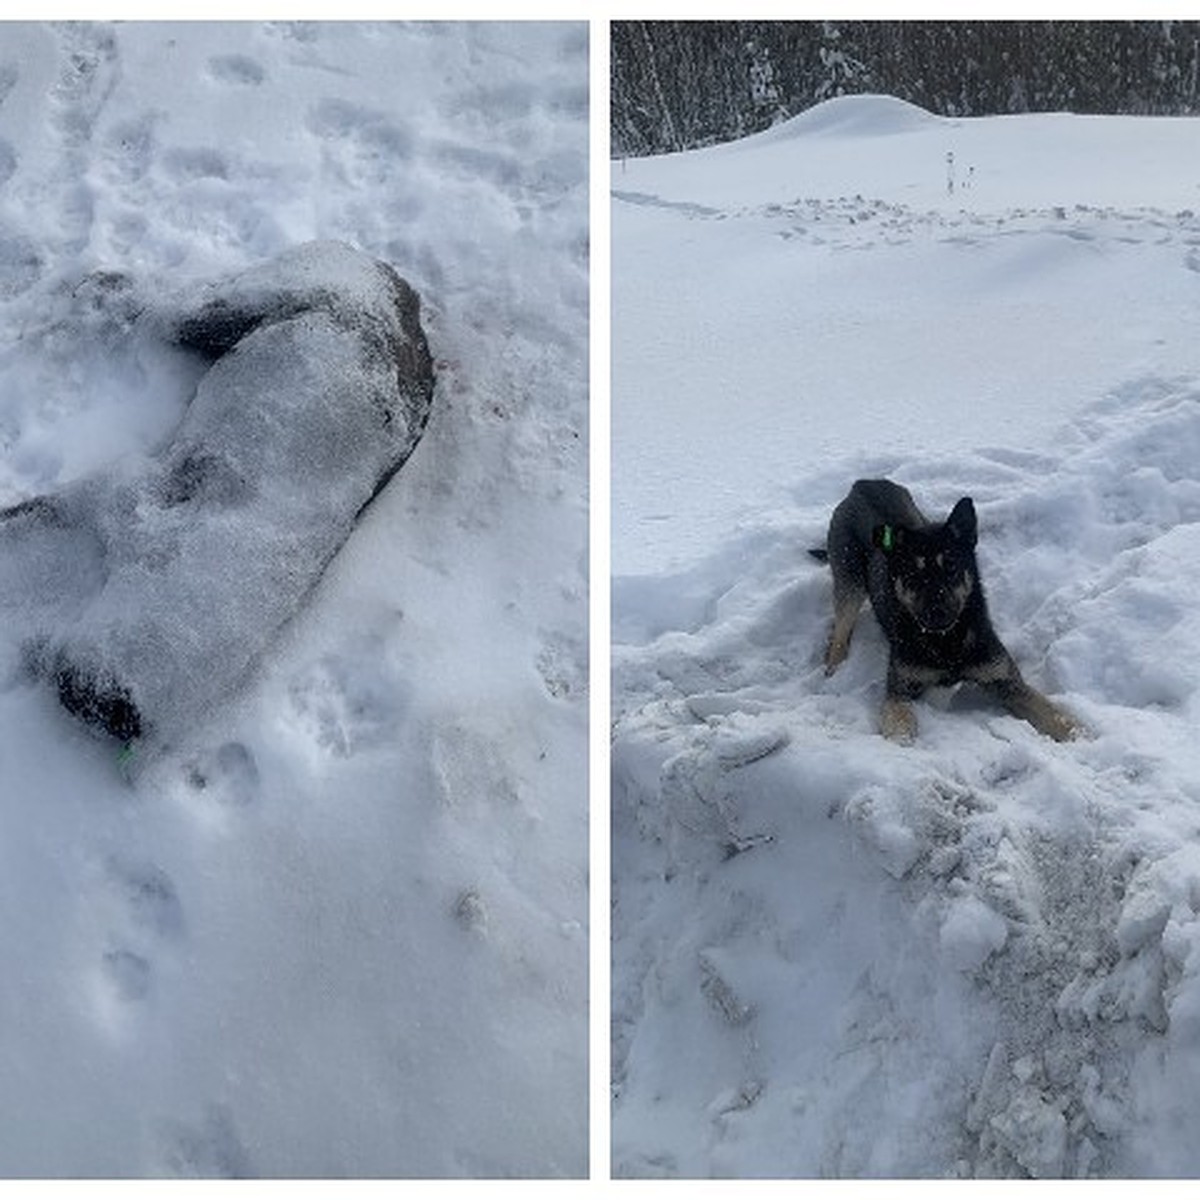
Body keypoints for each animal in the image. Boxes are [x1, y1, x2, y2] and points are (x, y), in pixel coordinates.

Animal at [0, 241, 439, 748]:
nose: (77, 696)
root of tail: (397, 285)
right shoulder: (118, 497)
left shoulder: (107, 501)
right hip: (226, 310)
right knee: (148, 301)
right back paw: (90, 285)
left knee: (147, 305)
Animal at [816, 475, 1080, 739]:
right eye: (912, 575)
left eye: (951, 567)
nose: (937, 612)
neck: (947, 641)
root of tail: (863, 484)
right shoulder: (899, 690)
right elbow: (900, 728)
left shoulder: (1008, 682)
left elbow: (1056, 717)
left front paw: (1079, 735)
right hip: (850, 582)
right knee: (841, 629)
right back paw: (834, 667)